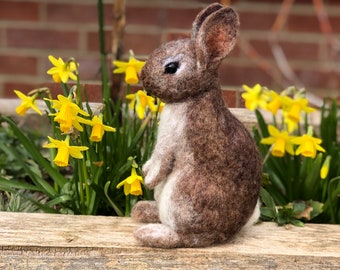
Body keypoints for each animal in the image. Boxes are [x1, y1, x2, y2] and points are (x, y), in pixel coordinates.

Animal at [131, 2, 262, 249]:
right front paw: (145, 171)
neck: (192, 97)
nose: (142, 77)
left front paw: (148, 178)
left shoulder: (172, 139)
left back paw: (150, 232)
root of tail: (224, 234)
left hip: (181, 196)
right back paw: (143, 210)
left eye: (171, 67)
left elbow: (161, 160)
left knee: (186, 237)